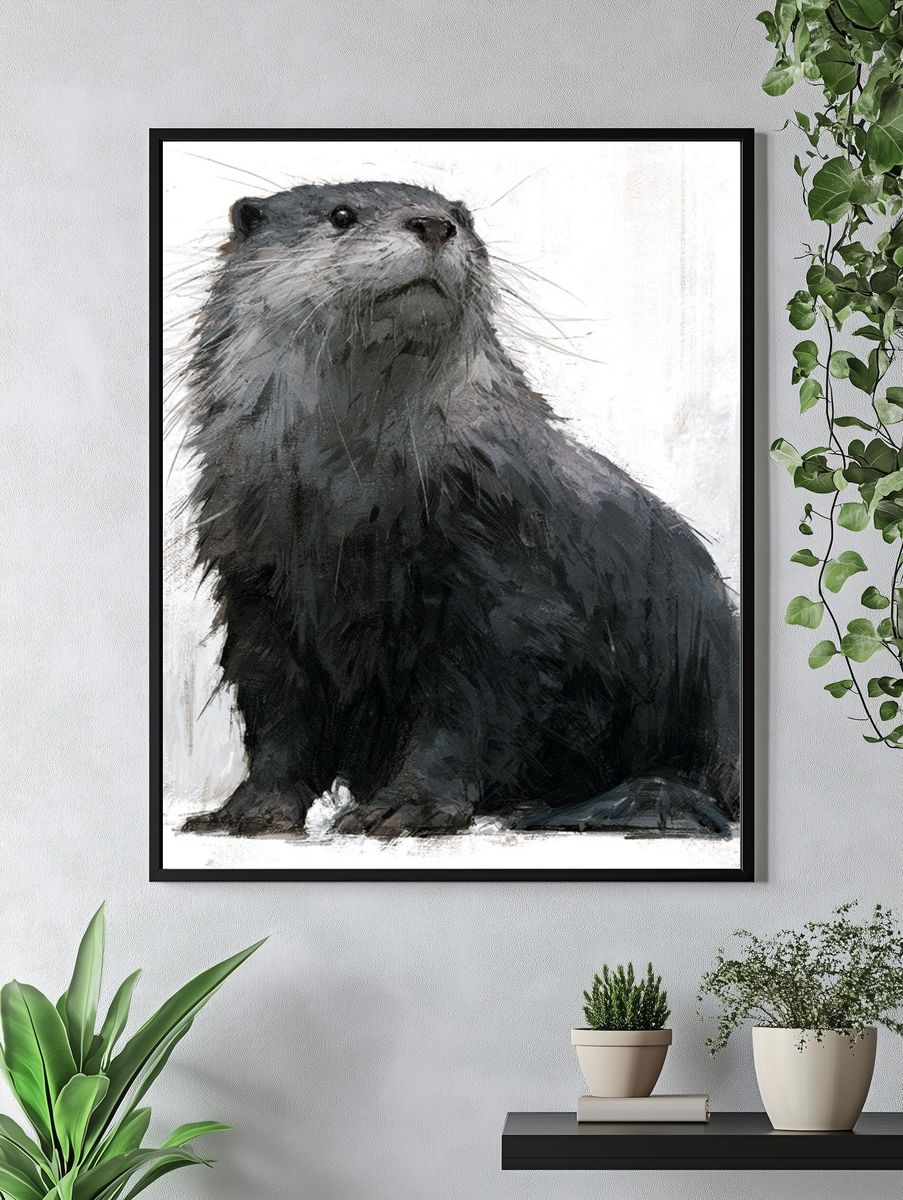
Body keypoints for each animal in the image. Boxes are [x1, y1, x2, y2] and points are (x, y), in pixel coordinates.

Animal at [179, 180, 739, 839]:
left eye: (464, 218)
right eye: (341, 216)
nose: (433, 224)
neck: (354, 515)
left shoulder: (503, 574)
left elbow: (467, 705)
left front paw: (406, 805)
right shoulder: (256, 583)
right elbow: (276, 708)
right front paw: (252, 809)